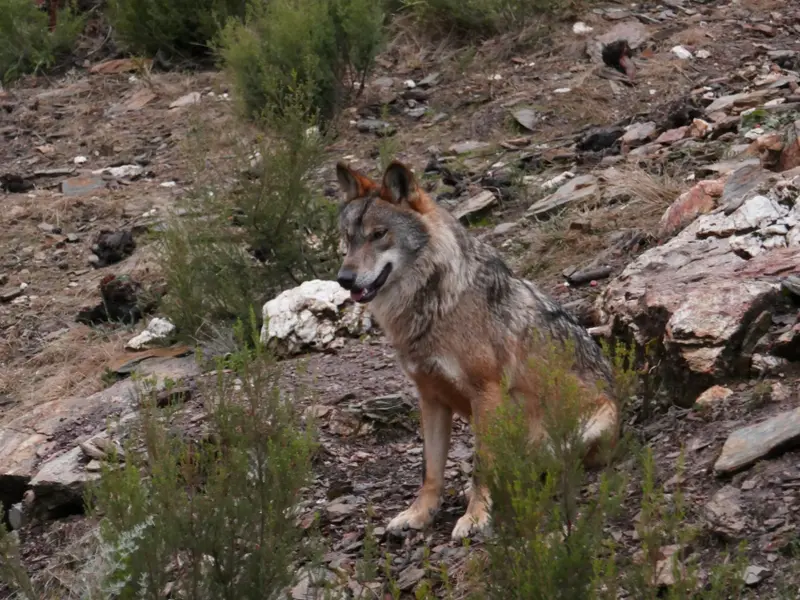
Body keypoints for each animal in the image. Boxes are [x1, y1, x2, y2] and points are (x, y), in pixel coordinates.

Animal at [334, 160, 620, 541]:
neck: (435, 306)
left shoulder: (486, 393)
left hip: (583, 426)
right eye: (348, 238)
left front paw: (475, 517)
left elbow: (481, 465)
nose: (344, 279)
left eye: (379, 234)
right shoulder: (431, 398)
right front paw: (419, 514)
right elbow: (431, 470)